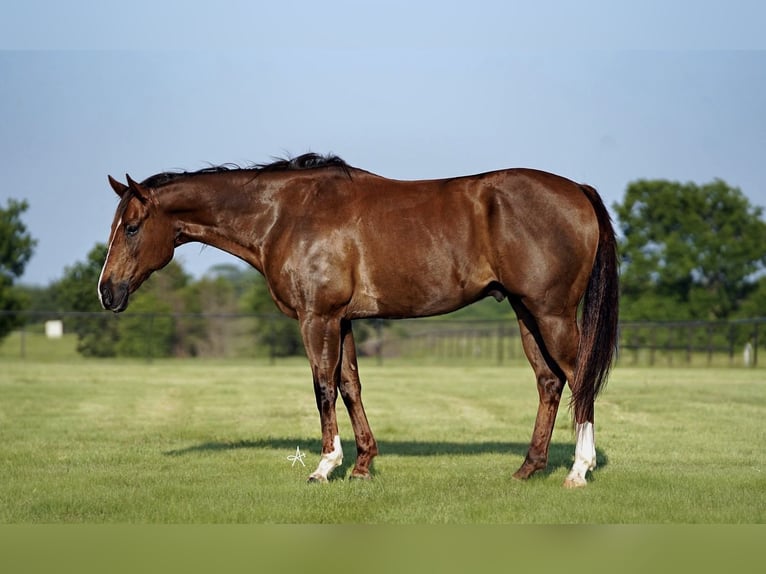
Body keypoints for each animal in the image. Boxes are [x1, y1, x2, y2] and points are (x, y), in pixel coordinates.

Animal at [100, 154, 616, 490]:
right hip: (526, 313)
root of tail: (578, 190)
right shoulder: (343, 320)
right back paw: (529, 468)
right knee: (550, 382)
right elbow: (350, 386)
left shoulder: (317, 318)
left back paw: (578, 470)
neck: (286, 214)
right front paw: (363, 465)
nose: (107, 292)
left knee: (579, 378)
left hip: (550, 313)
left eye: (132, 227)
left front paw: (324, 466)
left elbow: (323, 388)